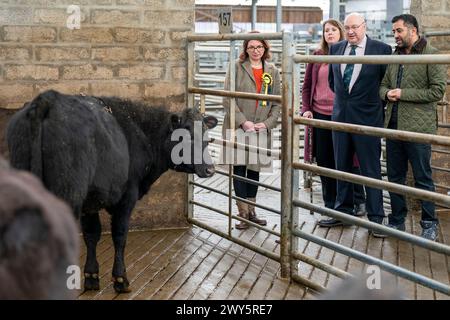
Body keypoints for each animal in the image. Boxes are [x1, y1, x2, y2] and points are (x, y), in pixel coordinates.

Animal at [6, 89, 218, 292]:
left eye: (207, 137)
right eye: (186, 138)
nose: (210, 169)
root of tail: (48, 99)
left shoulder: (90, 202)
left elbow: (92, 234)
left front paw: (91, 276)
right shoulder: (127, 196)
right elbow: (119, 234)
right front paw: (120, 279)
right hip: (67, 195)